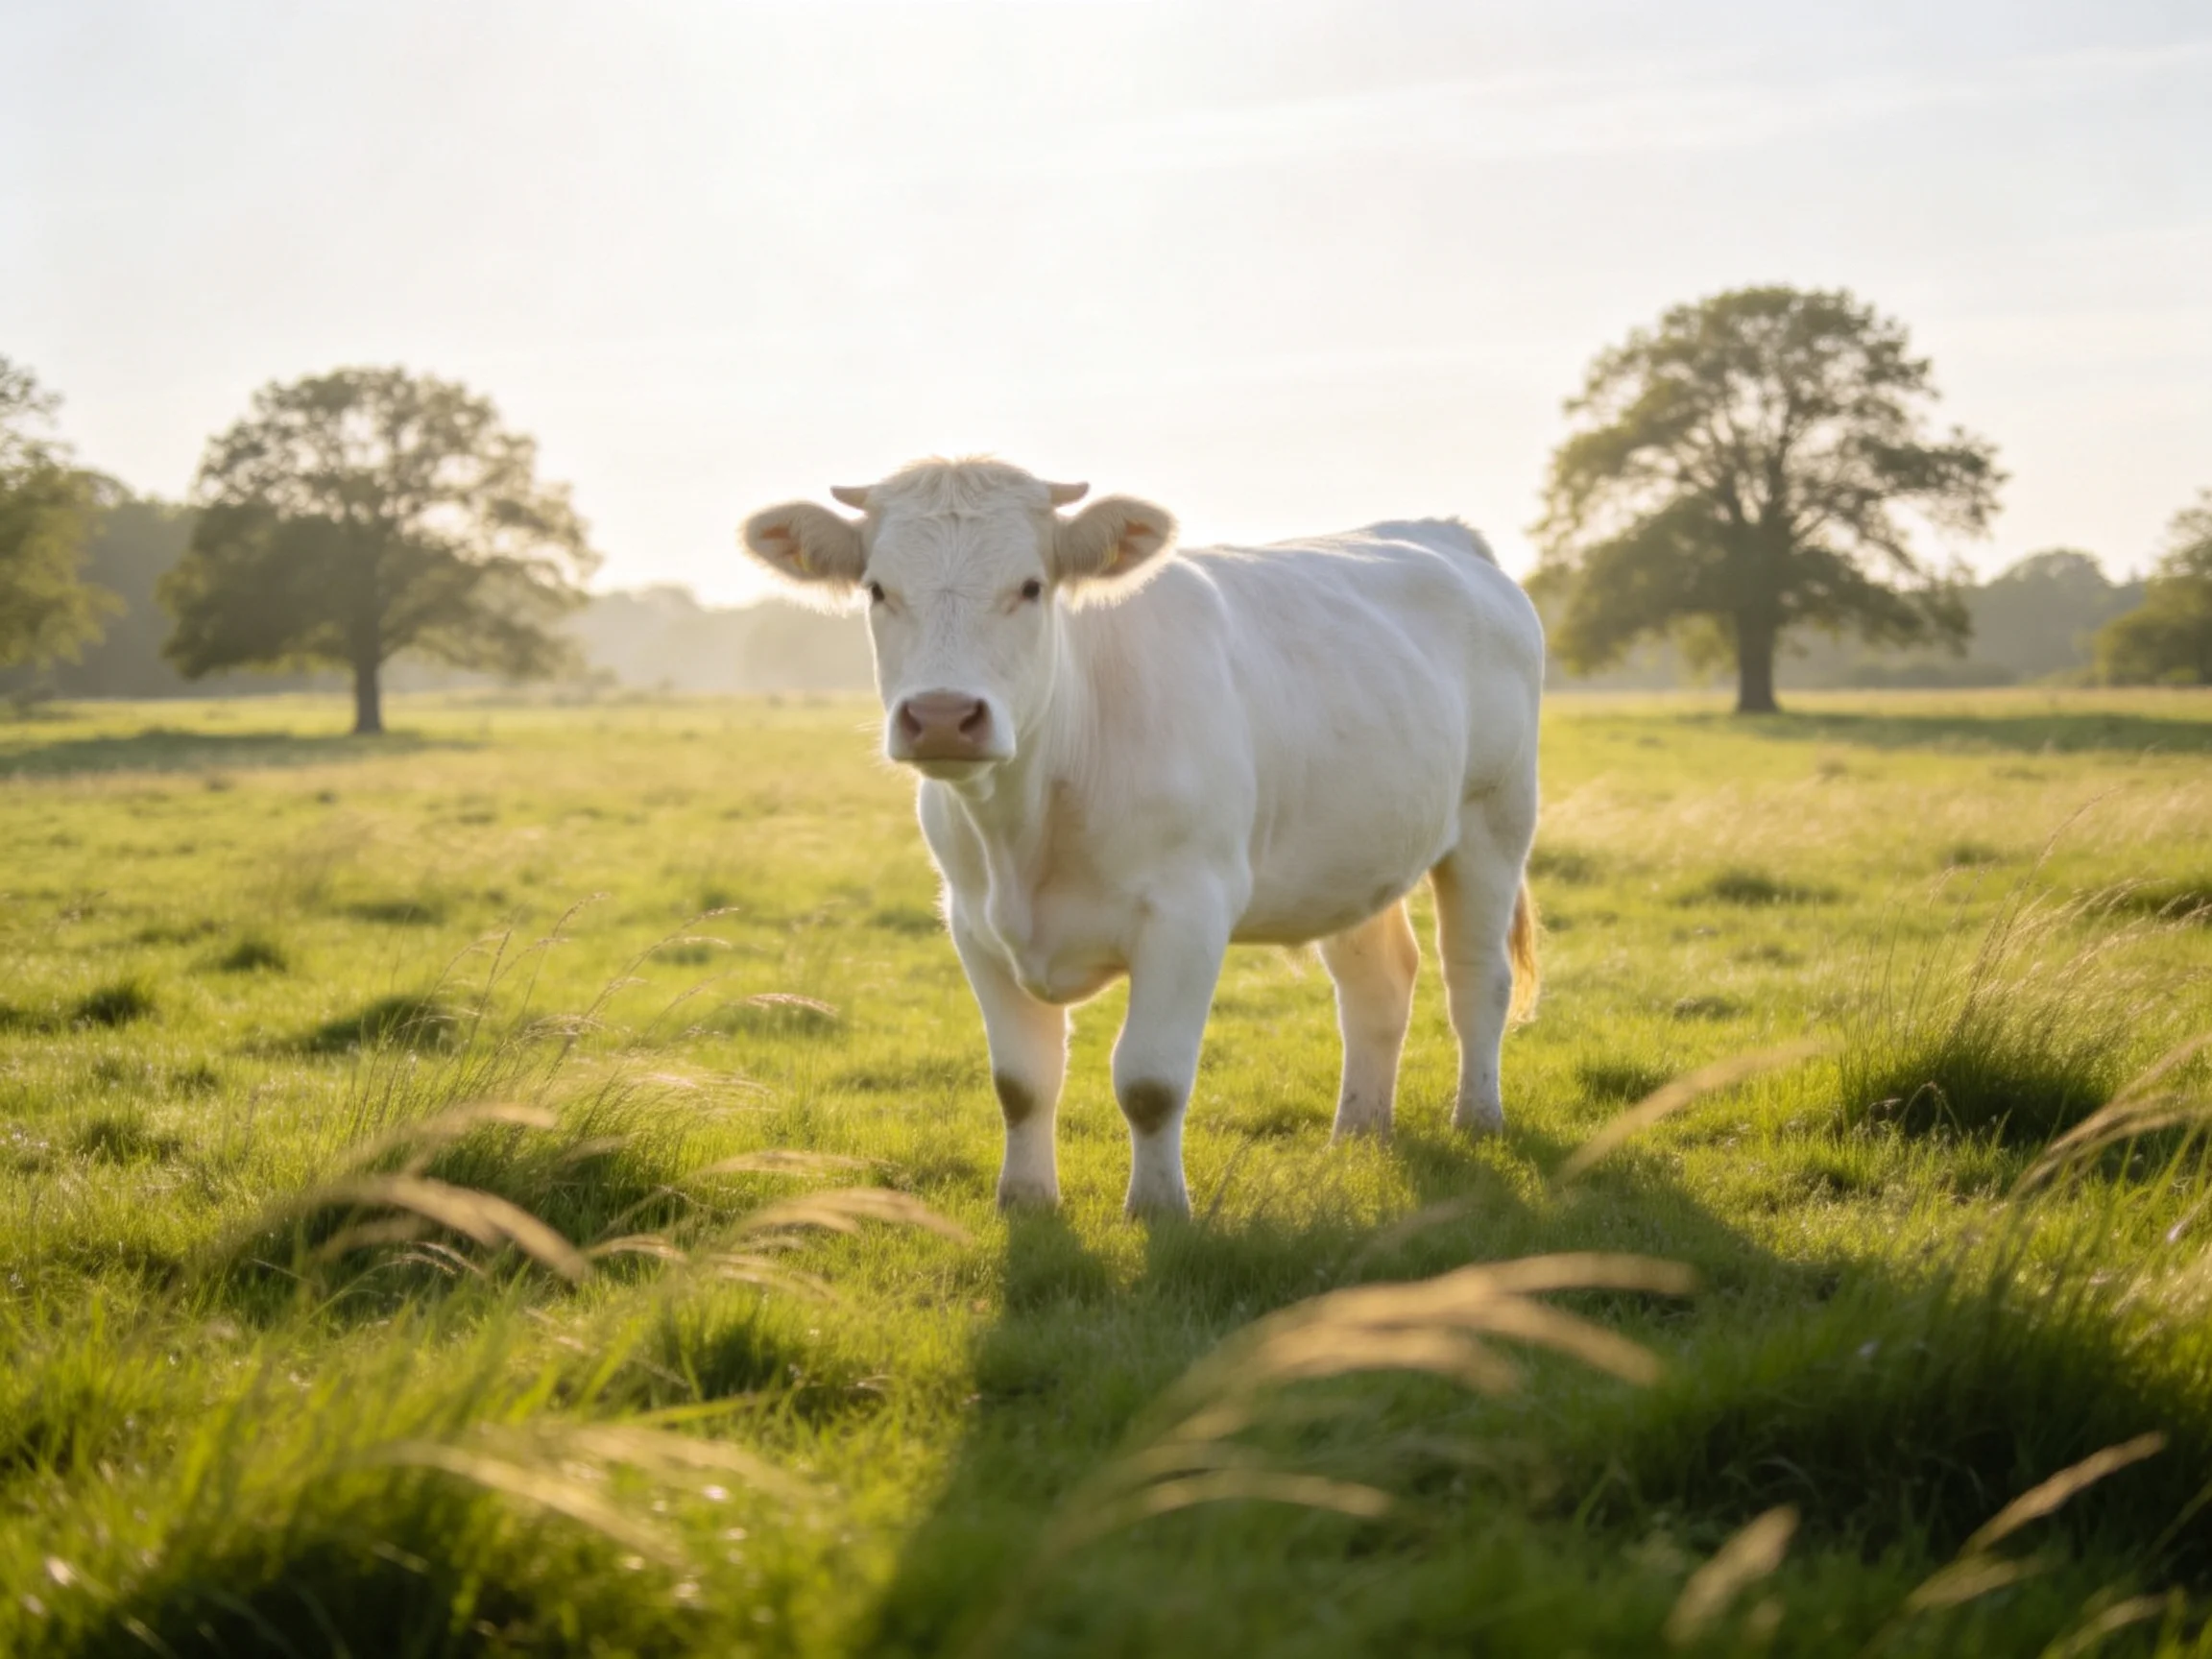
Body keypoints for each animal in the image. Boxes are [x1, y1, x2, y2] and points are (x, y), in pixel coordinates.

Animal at [740, 458, 1543, 1219]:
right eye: (878, 589)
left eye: (1031, 586)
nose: (942, 716)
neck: (1028, 825)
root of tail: (1441, 532)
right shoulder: (972, 921)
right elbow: (1021, 1082)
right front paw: (1025, 1200)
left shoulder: (1188, 914)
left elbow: (1150, 1081)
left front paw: (1158, 1208)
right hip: (1352, 853)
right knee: (1377, 985)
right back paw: (1357, 1134)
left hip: (1494, 823)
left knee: (1476, 979)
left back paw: (1477, 1119)